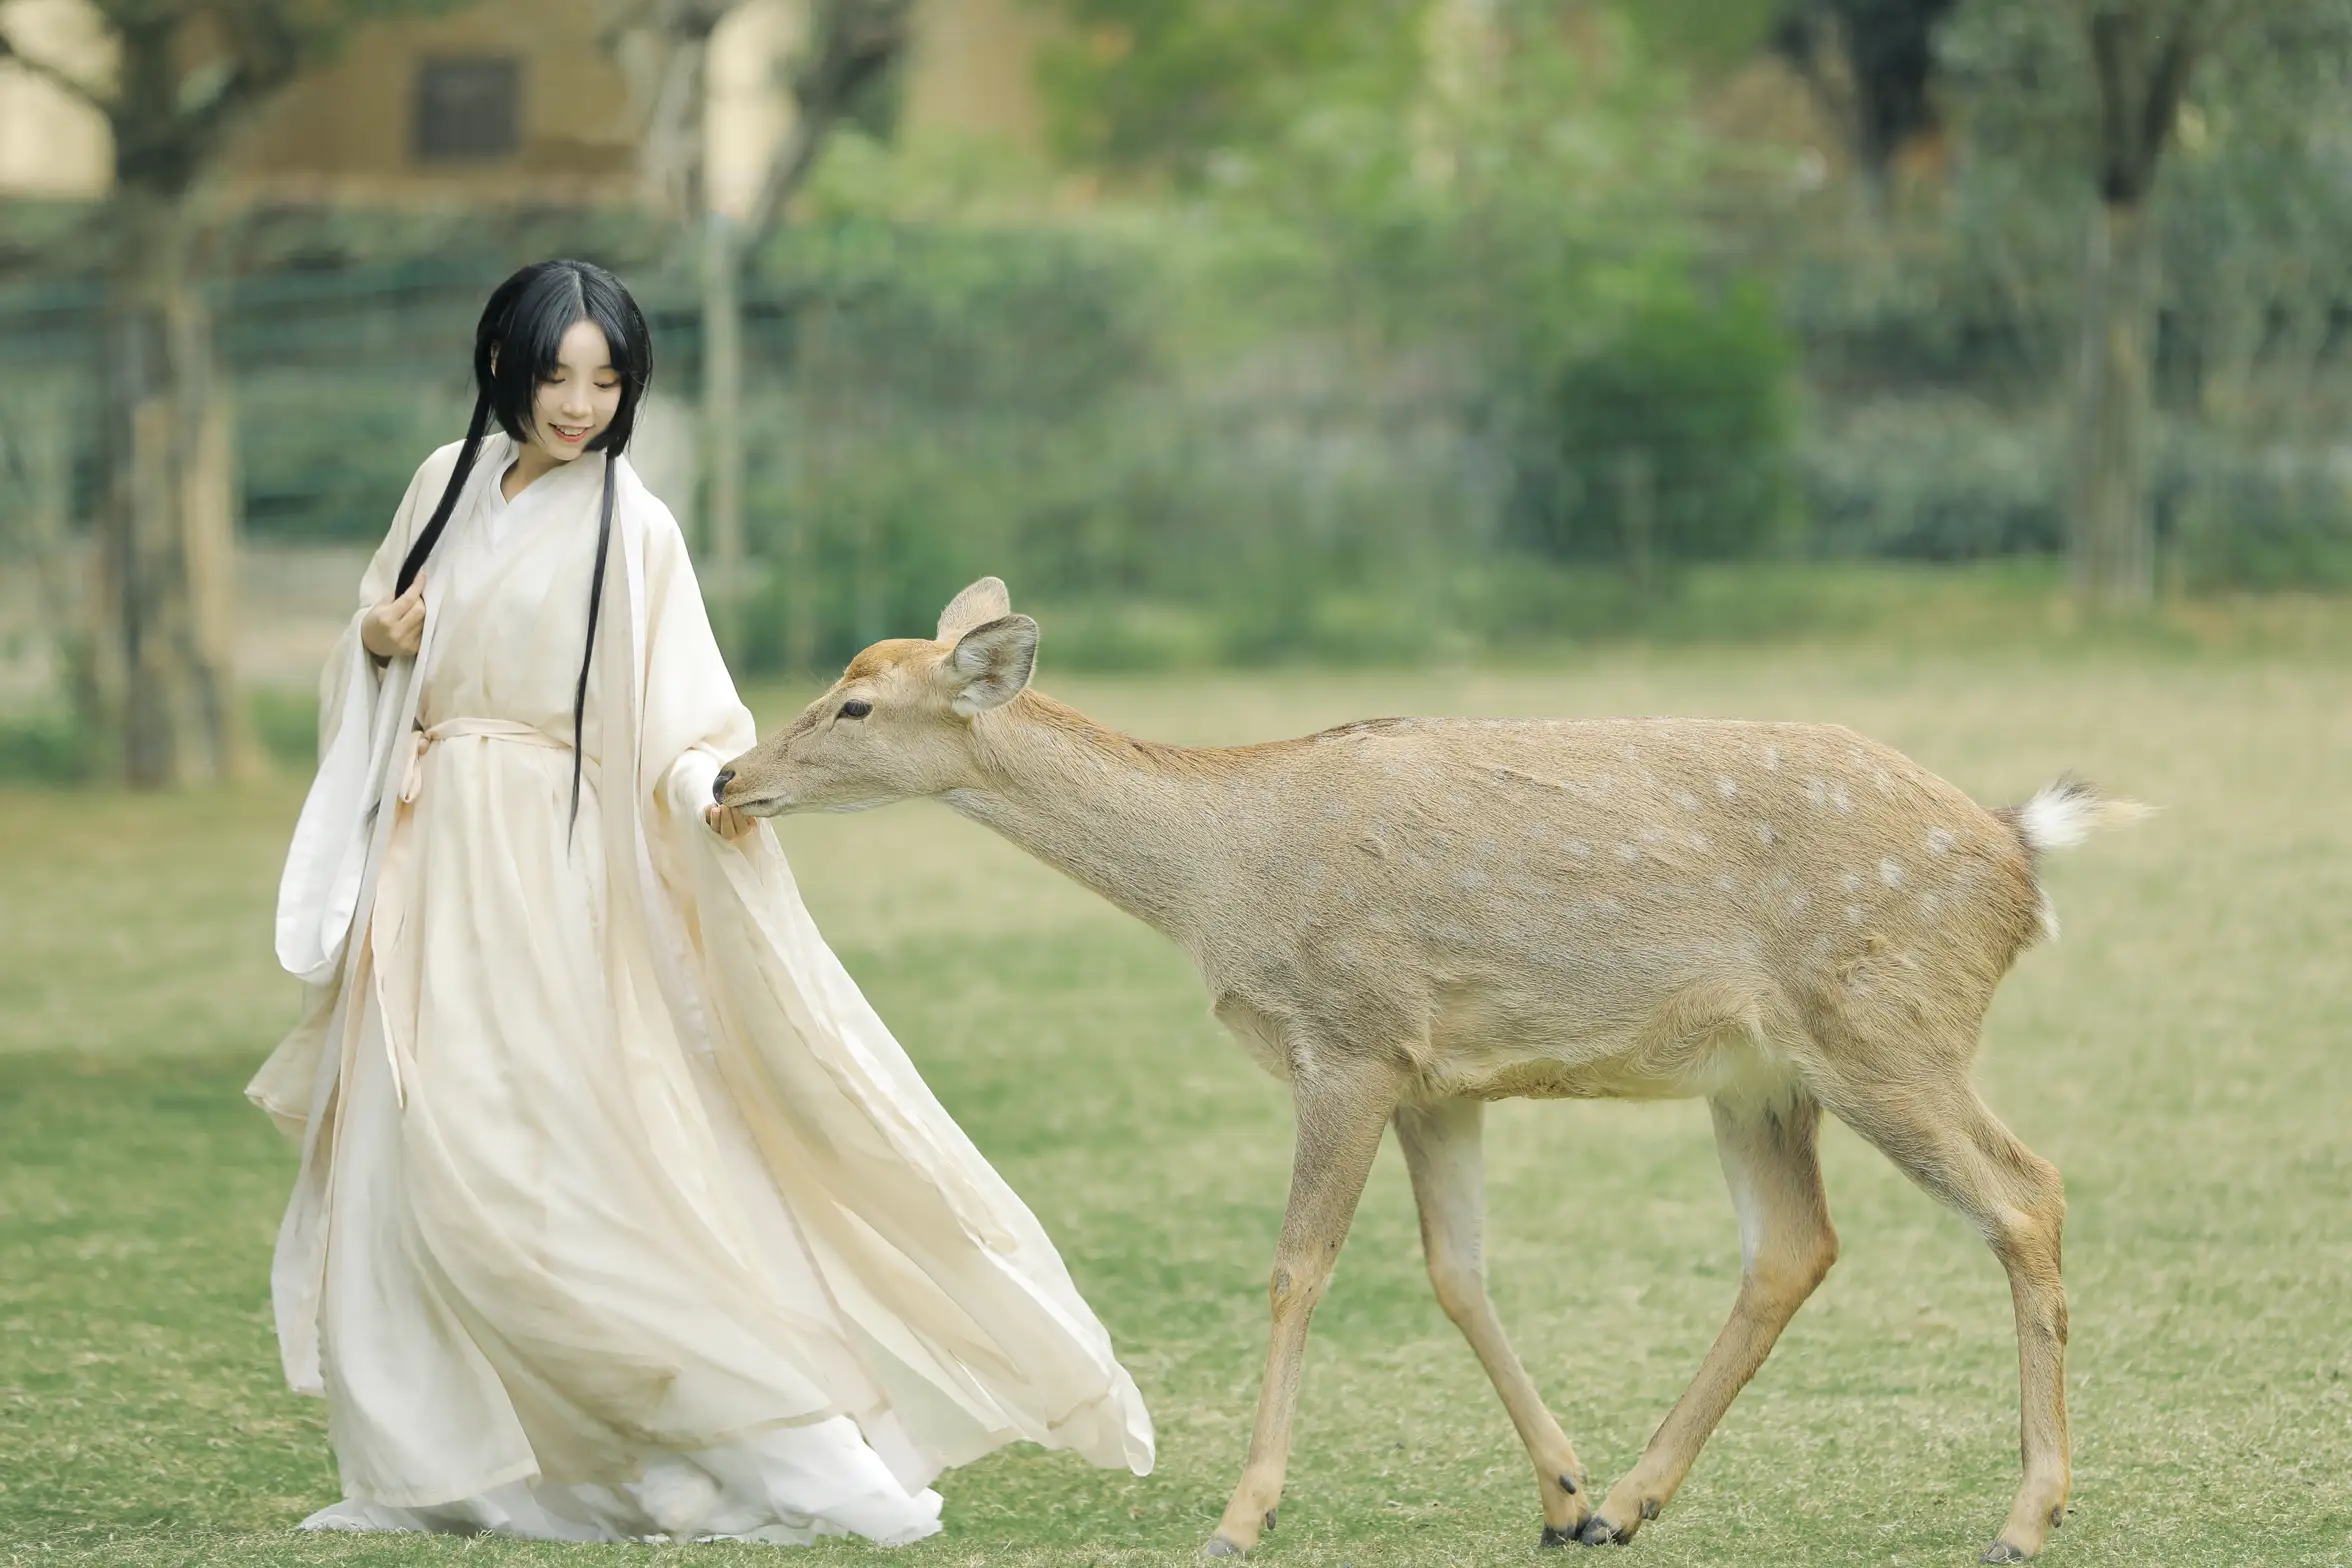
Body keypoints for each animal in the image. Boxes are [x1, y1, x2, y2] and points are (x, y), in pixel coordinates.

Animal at [712, 578, 2147, 1564]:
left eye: (854, 703)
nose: (729, 772)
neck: (1218, 876)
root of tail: (2020, 852)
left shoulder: (1347, 1036)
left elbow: (1297, 1268)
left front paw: (1240, 1513)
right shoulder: (1436, 1075)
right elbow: (1457, 1273)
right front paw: (1559, 1495)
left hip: (1890, 1025)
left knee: (2027, 1190)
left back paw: (2025, 1514)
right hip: (1761, 1077)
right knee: (1795, 1246)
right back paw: (1632, 1501)